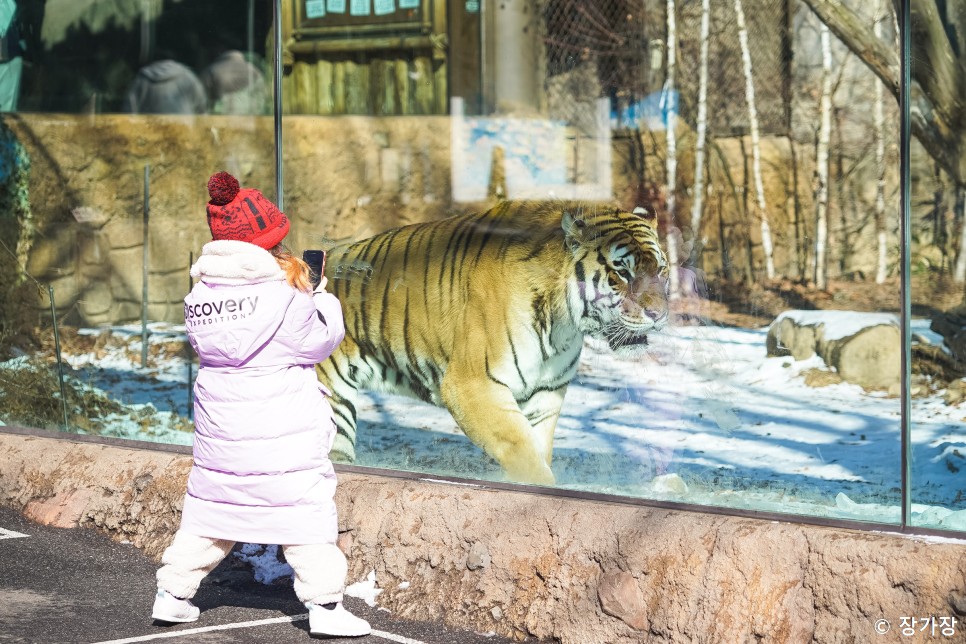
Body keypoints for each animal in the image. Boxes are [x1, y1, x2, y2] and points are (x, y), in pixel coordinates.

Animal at [322, 201, 668, 484]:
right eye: (621, 272)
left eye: (661, 269)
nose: (659, 313)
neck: (565, 325)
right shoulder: (472, 385)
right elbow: (525, 457)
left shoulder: (546, 392)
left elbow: (536, 450)